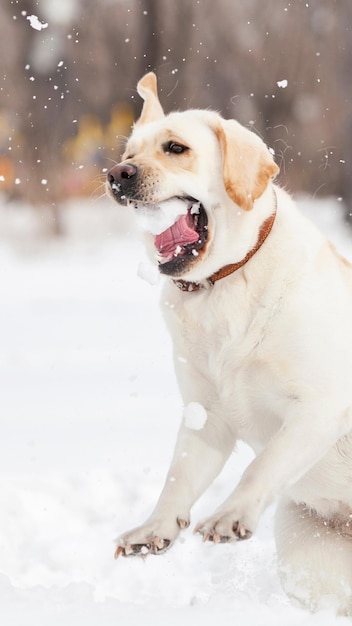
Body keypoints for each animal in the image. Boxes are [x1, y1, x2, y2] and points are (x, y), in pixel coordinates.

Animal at [106, 72, 352, 608]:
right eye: (129, 152)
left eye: (176, 148)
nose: (117, 174)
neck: (223, 285)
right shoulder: (205, 415)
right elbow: (177, 477)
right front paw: (154, 528)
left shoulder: (321, 407)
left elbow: (264, 464)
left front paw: (230, 515)